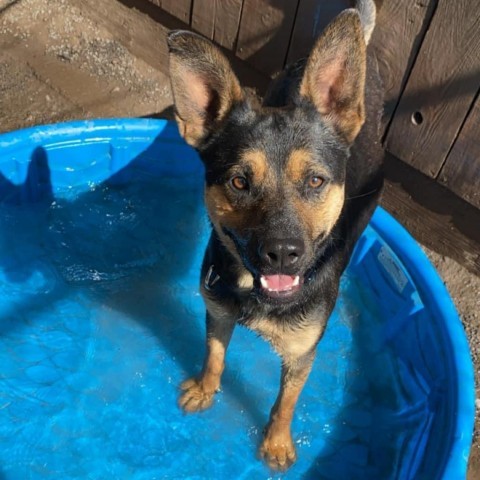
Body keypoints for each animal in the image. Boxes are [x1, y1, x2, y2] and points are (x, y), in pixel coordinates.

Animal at [167, 0, 384, 470]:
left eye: (316, 181)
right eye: (239, 182)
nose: (283, 254)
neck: (256, 292)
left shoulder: (302, 351)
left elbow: (286, 401)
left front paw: (277, 443)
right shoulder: (217, 310)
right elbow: (214, 355)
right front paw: (205, 388)